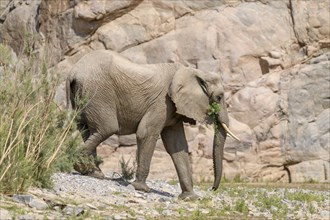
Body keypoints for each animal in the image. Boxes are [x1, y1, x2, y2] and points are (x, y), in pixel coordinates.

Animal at [67, 49, 238, 199]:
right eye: (219, 97)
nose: (212, 189)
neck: (193, 72)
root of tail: (73, 72)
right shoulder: (162, 102)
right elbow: (146, 133)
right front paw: (141, 189)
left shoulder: (172, 108)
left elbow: (177, 145)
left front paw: (190, 198)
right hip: (98, 92)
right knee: (107, 128)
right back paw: (80, 166)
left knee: (86, 129)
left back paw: (93, 173)